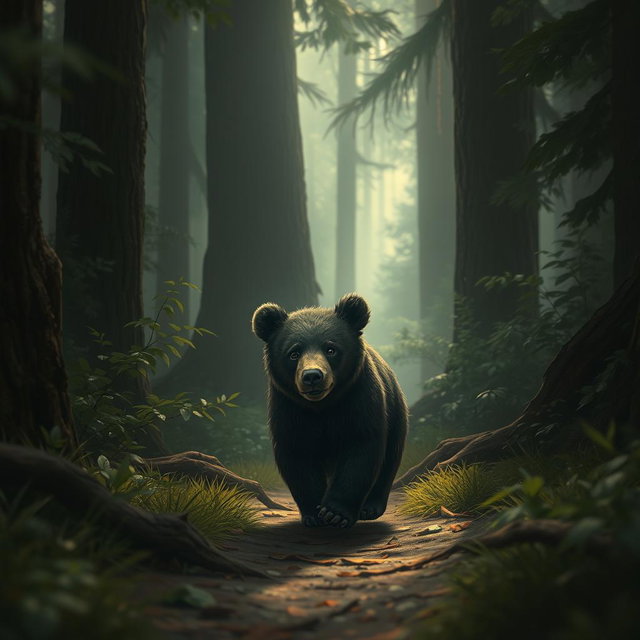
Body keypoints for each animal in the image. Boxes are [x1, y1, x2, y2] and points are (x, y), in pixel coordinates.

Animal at [251, 293, 408, 528]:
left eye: (331, 349)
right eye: (294, 353)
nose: (312, 376)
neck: (322, 406)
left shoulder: (359, 398)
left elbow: (361, 449)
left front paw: (335, 513)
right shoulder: (289, 408)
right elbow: (297, 456)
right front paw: (315, 513)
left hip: (396, 411)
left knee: (390, 458)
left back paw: (371, 507)